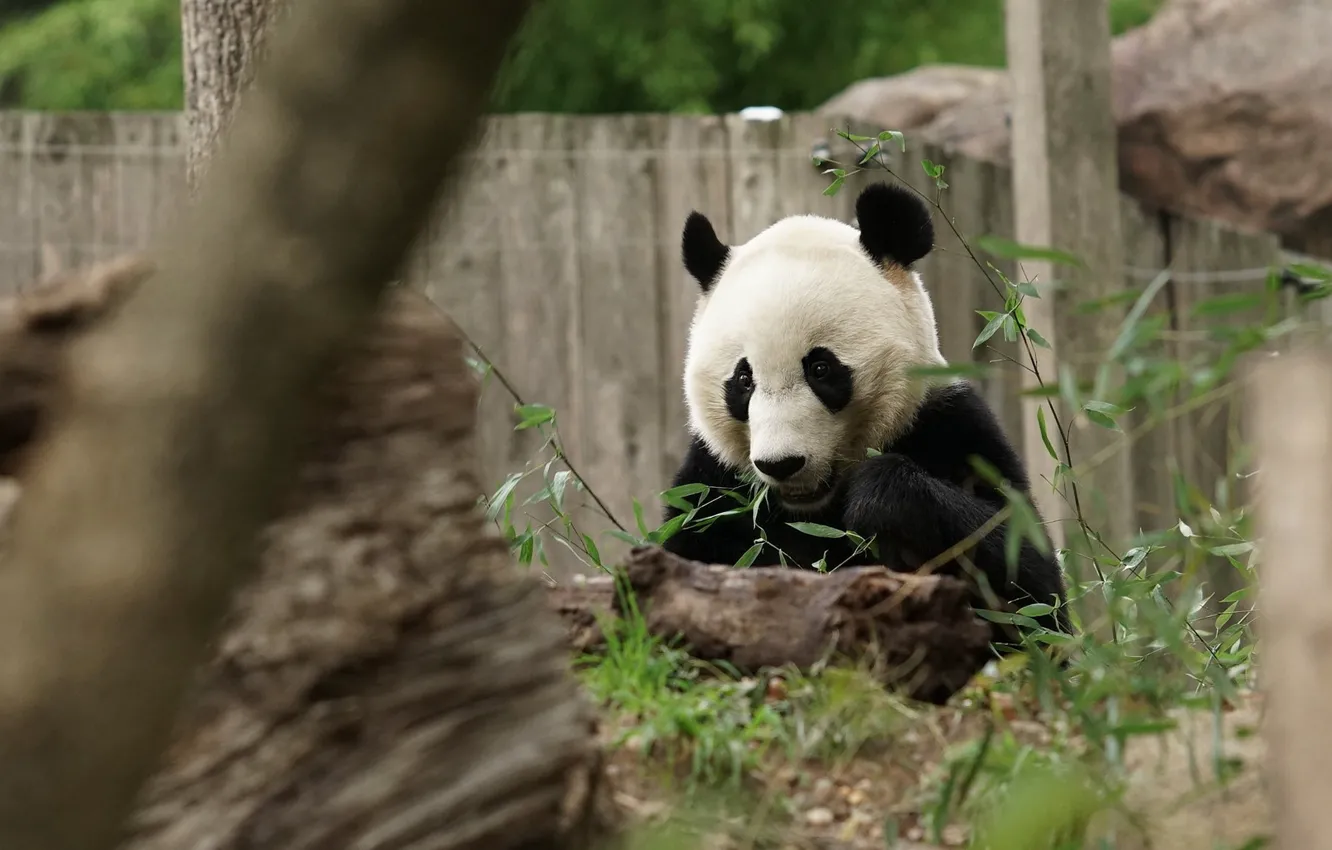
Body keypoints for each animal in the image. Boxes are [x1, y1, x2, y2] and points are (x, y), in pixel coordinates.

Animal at [659, 180, 1070, 641]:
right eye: (743, 380)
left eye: (821, 368)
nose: (781, 464)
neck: (811, 508)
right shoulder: (711, 490)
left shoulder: (950, 427)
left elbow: (1031, 591)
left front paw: (879, 500)